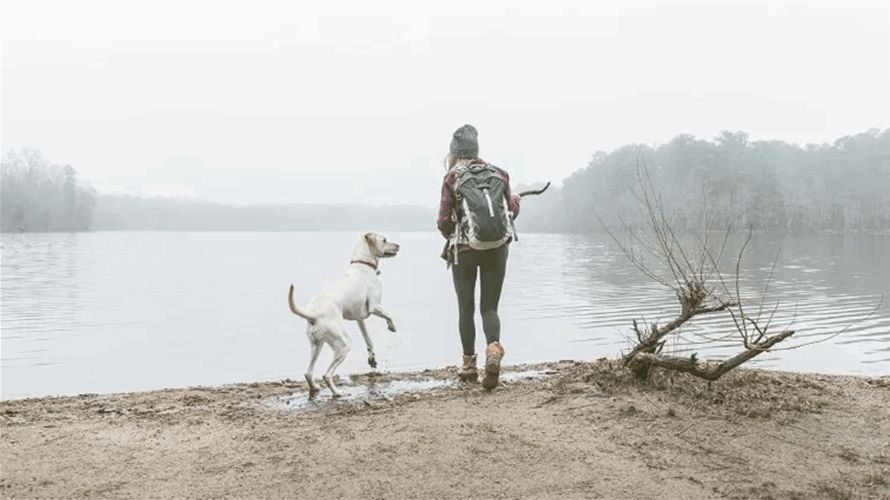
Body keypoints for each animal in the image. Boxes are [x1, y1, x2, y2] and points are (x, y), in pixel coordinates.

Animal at [288, 233, 398, 398]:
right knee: (326, 375)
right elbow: (389, 316)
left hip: (317, 345)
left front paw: (372, 359)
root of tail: (313, 315)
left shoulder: (360, 319)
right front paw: (392, 327)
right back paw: (337, 393)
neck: (362, 263)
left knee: (308, 373)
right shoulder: (374, 307)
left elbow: (368, 340)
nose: (398, 246)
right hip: (343, 345)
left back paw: (315, 388)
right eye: (384, 240)